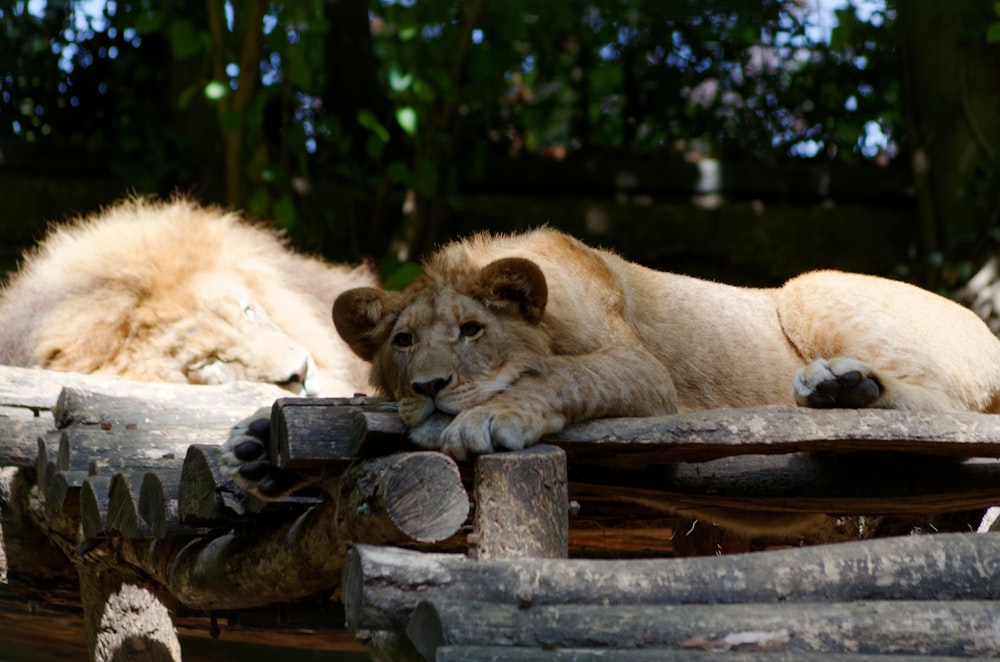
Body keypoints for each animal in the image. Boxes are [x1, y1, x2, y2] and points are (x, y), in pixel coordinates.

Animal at [223, 224, 1000, 498]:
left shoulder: (644, 370)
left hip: (812, 285)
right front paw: (260, 441)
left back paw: (836, 386)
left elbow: (565, 373)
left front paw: (491, 415)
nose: (432, 385)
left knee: (947, 411)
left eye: (472, 330)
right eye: (402, 343)